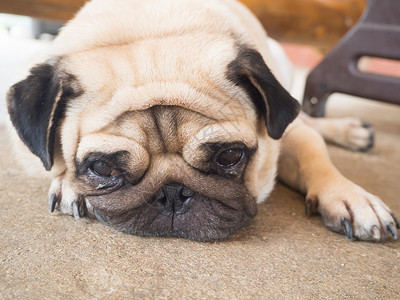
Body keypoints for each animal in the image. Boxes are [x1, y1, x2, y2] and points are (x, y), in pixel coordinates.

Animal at [6, 0, 400, 240]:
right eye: (102, 168)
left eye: (229, 156)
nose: (172, 193)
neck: (151, 32)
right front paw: (69, 185)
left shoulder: (283, 137)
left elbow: (311, 154)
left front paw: (350, 196)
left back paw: (351, 131)